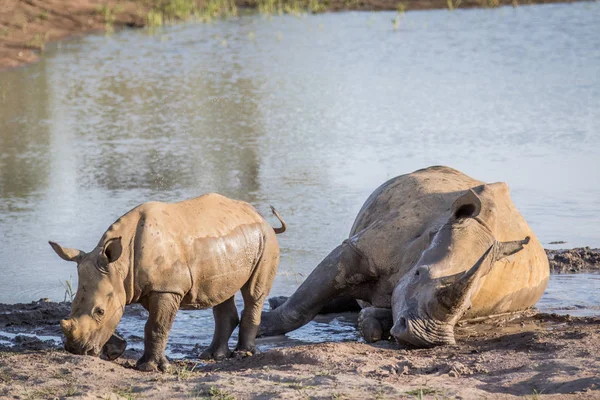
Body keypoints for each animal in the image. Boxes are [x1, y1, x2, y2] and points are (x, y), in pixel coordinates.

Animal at [48, 194, 288, 372]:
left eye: (99, 311)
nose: (75, 350)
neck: (121, 266)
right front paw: (117, 351)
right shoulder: (128, 285)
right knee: (222, 293)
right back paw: (212, 356)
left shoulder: (167, 289)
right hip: (228, 241)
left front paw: (150, 368)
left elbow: (156, 325)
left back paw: (242, 353)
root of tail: (260, 216)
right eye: (72, 305)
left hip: (265, 239)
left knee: (254, 294)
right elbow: (131, 320)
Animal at [260, 166, 552, 346]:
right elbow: (303, 303)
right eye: (418, 273)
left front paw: (372, 325)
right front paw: (261, 326)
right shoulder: (359, 250)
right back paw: (275, 302)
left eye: (468, 308)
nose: (427, 339)